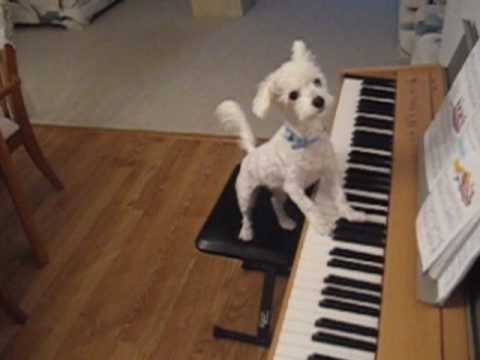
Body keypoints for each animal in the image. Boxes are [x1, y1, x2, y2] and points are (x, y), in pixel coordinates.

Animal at [216, 39, 366, 242]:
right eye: (293, 95)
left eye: (317, 81)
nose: (319, 100)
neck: (307, 140)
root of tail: (252, 151)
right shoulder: (294, 187)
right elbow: (310, 206)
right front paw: (322, 225)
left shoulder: (330, 171)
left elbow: (340, 195)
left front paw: (351, 214)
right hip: (246, 194)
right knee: (246, 215)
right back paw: (246, 232)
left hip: (280, 191)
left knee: (274, 202)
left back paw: (285, 221)